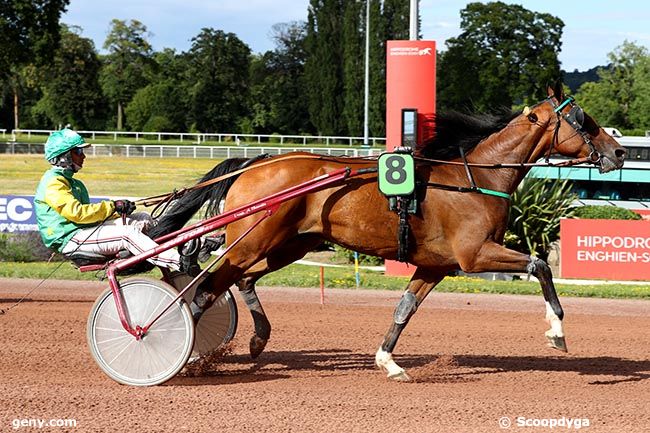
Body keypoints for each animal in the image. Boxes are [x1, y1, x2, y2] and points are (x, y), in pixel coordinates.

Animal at [147, 82, 624, 380]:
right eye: (584, 119)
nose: (618, 152)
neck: (474, 177)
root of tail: (254, 162)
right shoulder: (475, 254)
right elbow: (541, 265)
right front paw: (556, 332)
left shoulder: (436, 266)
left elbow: (403, 310)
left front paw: (388, 362)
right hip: (253, 242)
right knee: (207, 288)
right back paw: (175, 349)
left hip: (290, 244)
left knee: (240, 280)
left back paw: (256, 340)